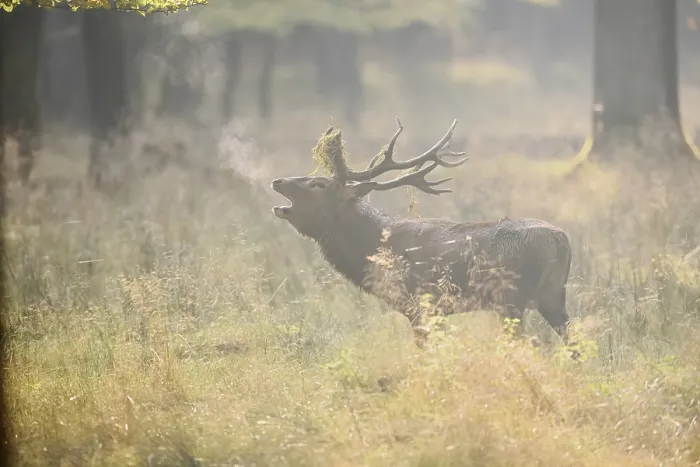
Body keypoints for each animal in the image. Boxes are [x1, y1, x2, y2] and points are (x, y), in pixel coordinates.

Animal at [271, 119, 575, 353]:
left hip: (511, 297)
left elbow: (423, 348)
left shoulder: (418, 302)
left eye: (318, 183)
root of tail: (561, 241)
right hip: (553, 295)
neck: (371, 248)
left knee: (532, 344)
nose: (277, 181)